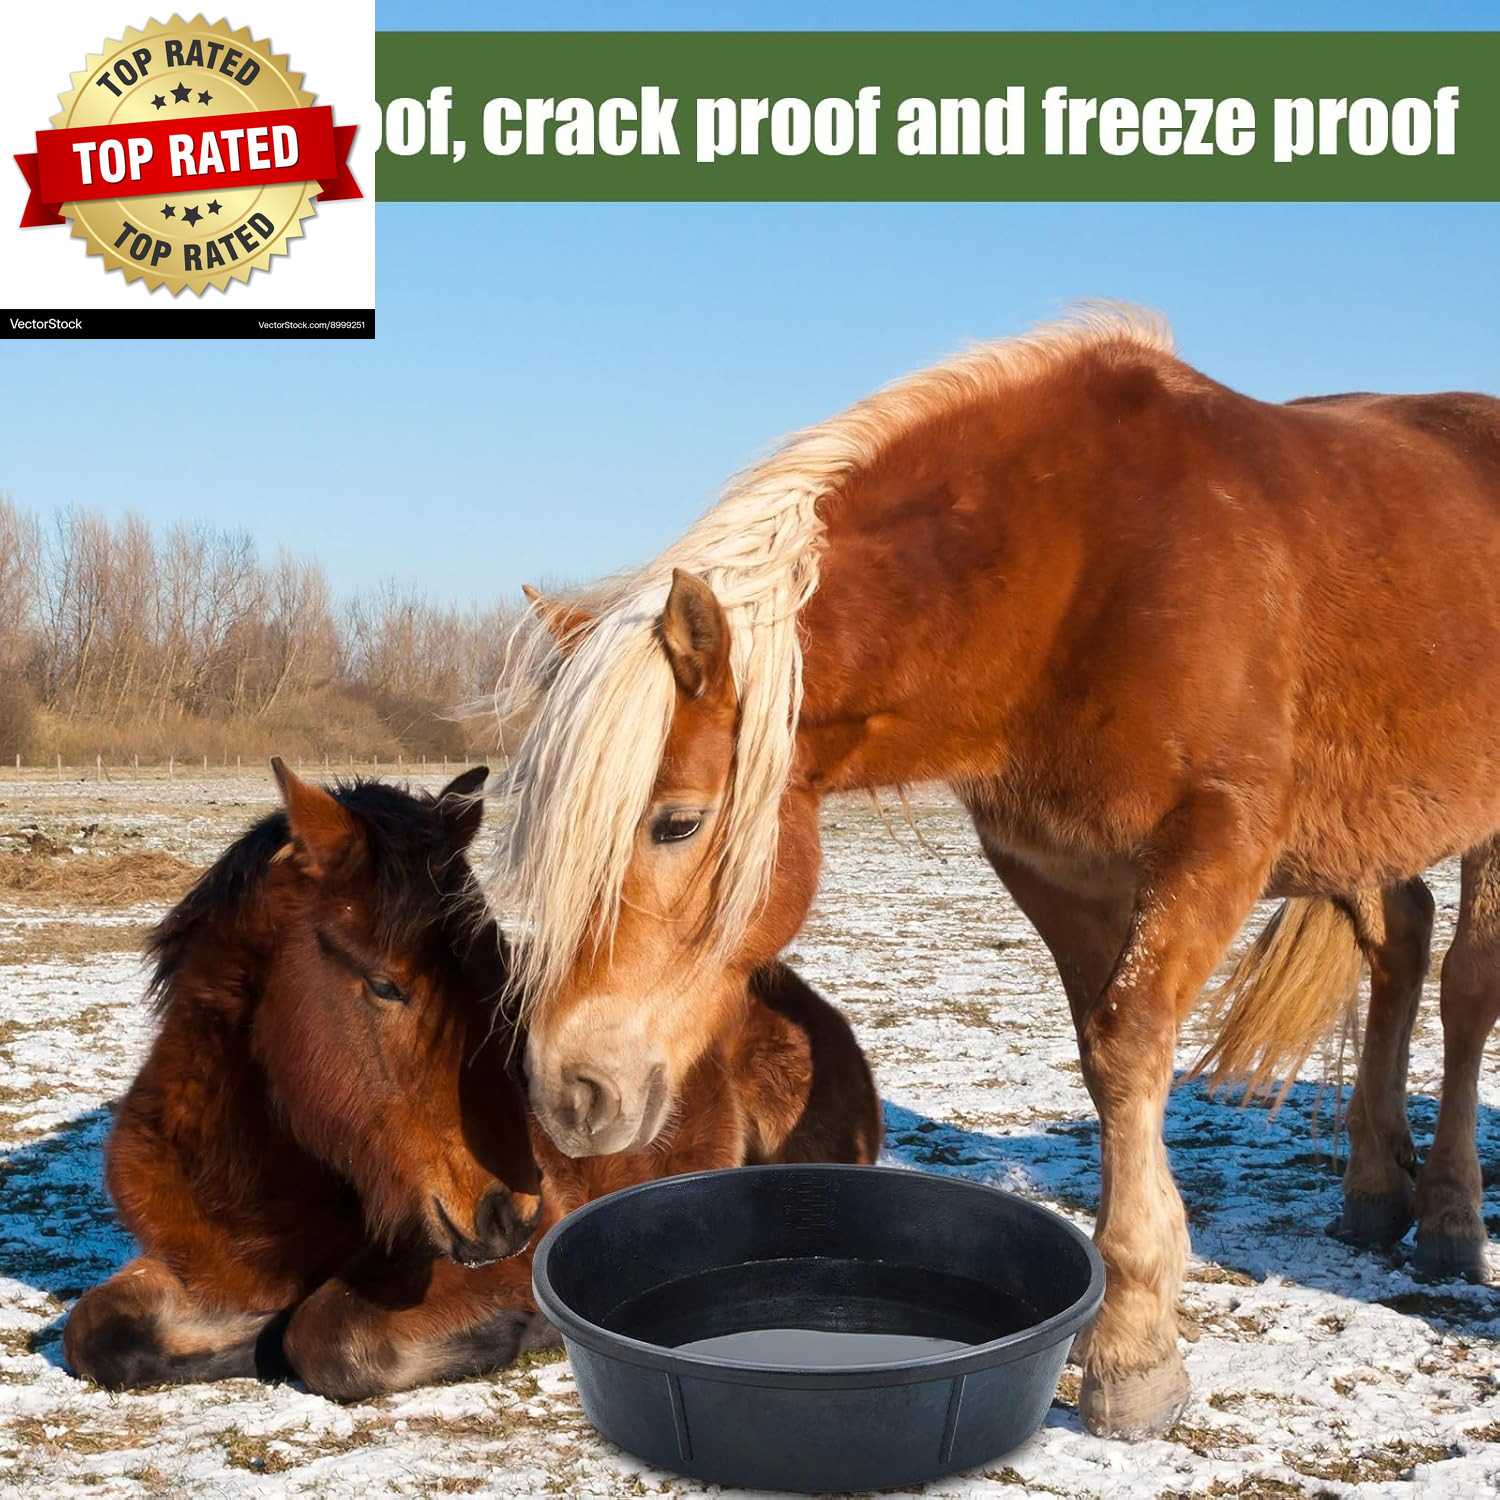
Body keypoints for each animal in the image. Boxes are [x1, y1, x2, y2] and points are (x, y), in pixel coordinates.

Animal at [64, 762, 881, 1400]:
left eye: (498, 976)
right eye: (385, 986)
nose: (509, 1211)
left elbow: (324, 1335)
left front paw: (519, 1331)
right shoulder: (194, 1266)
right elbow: (93, 1331)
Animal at [493, 306, 1500, 1440]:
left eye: (676, 822)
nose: (567, 1090)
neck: (1083, 564)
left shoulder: (1215, 843)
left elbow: (1129, 1045)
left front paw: (1132, 1349)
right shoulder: (1058, 871)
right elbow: (1108, 1060)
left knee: (1466, 991)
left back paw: (1450, 1220)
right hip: (1357, 829)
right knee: (1400, 943)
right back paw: (1374, 1192)